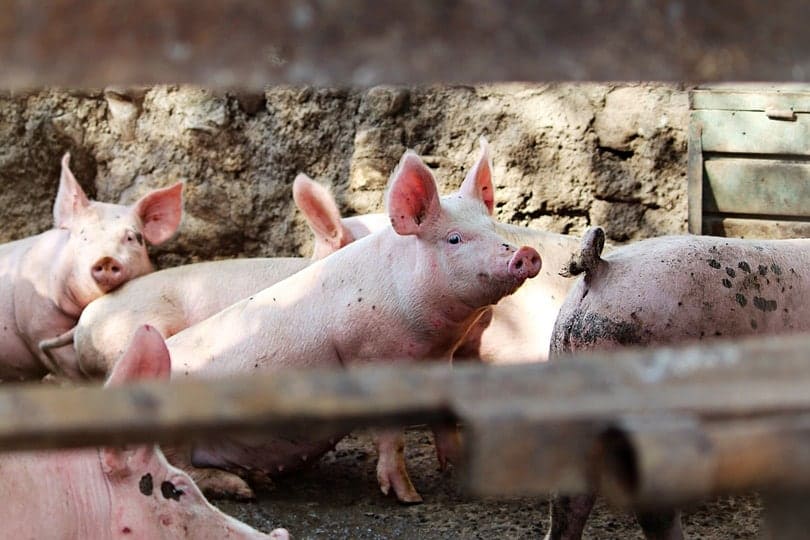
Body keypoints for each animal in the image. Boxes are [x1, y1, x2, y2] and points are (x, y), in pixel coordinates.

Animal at [162, 146, 541, 503]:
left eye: (493, 229)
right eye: (454, 239)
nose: (526, 253)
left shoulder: (439, 361)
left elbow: (446, 417)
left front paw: (461, 472)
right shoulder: (372, 358)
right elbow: (392, 437)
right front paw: (409, 498)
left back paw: (258, 479)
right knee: (180, 469)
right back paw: (243, 489)